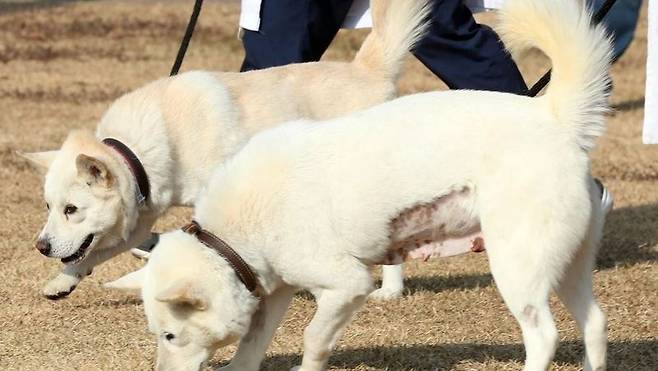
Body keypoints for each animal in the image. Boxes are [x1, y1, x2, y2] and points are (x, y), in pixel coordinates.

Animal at [19, 0, 430, 300]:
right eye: (48, 207)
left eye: (72, 209)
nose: (40, 247)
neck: (138, 151)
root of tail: (368, 71)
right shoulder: (140, 216)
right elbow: (97, 251)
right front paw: (63, 281)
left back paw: (389, 290)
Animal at [110, 0, 612, 371]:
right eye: (156, 334)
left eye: (170, 334)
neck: (232, 235)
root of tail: (554, 117)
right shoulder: (274, 292)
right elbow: (250, 348)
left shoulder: (346, 285)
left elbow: (314, 338)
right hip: (567, 266)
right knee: (594, 325)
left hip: (517, 267)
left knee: (545, 336)